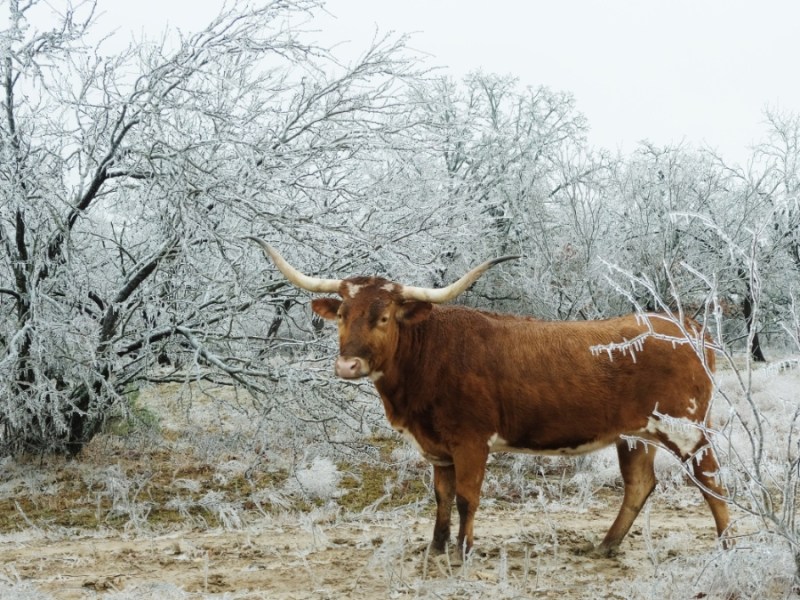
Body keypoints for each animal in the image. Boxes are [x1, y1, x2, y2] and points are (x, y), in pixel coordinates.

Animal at [252, 239, 732, 556]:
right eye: (342, 317)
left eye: (384, 317)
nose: (347, 366)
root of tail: (684, 325)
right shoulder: (437, 447)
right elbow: (442, 497)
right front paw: (436, 548)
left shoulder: (471, 441)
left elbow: (467, 496)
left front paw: (464, 551)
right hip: (634, 435)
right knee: (639, 485)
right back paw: (605, 546)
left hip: (688, 429)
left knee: (711, 481)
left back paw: (727, 546)